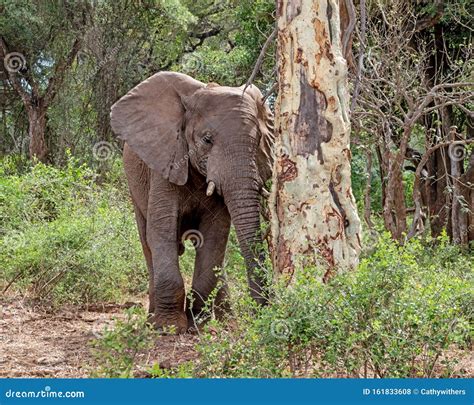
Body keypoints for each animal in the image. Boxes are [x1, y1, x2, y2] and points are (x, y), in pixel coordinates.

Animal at [110, 71, 274, 332]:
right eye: (207, 140)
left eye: (258, 140)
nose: (260, 313)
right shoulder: (165, 160)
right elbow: (161, 230)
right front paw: (168, 327)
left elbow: (215, 236)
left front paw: (199, 325)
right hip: (134, 187)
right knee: (146, 240)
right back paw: (152, 319)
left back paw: (226, 320)